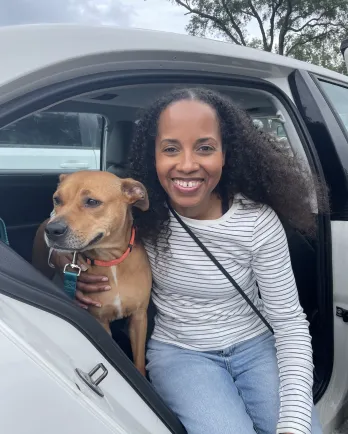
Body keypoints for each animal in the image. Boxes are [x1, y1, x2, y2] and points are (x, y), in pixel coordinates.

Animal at [33, 171, 152, 374]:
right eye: (57, 199)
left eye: (92, 202)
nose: (53, 229)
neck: (111, 260)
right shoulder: (101, 321)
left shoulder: (139, 317)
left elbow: (138, 360)